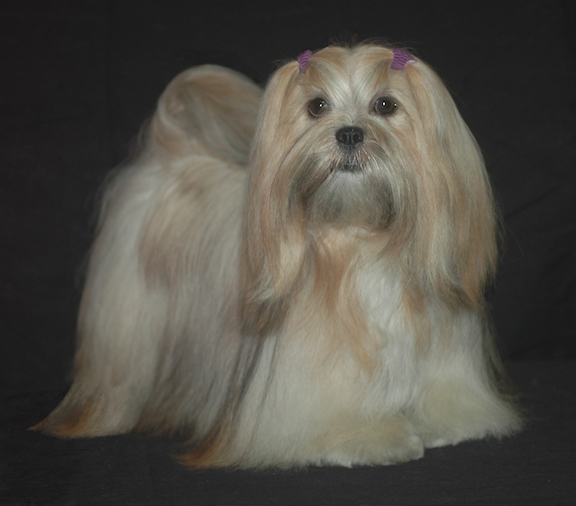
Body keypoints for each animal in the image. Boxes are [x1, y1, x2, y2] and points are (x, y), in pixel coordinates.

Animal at [36, 44, 520, 470]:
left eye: (385, 104)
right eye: (317, 106)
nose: (349, 132)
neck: (360, 241)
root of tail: (170, 157)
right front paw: (372, 437)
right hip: (125, 330)